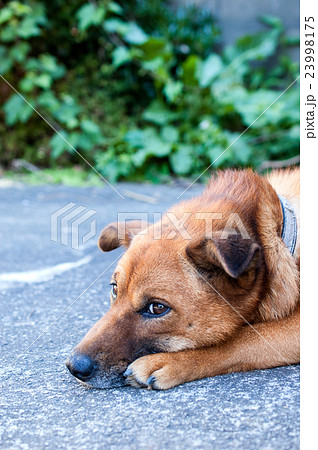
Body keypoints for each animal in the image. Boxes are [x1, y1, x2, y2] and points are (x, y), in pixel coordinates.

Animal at [66, 169, 300, 390]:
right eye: (115, 289)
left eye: (157, 308)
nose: (74, 366)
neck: (281, 231)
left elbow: (243, 338)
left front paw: (168, 361)